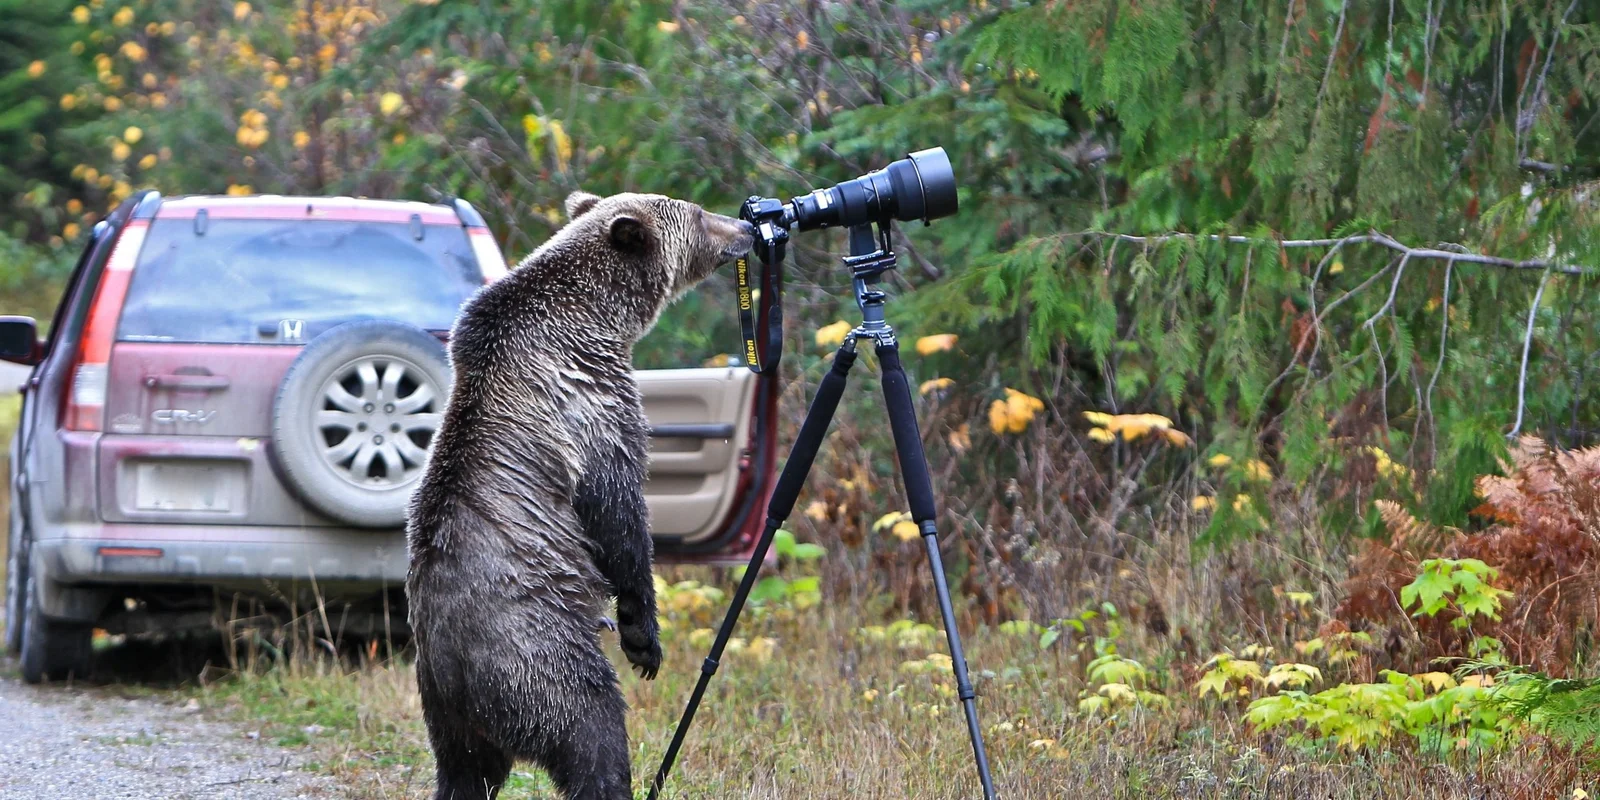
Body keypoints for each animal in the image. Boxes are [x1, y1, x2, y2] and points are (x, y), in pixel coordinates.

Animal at [400, 193, 748, 800]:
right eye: (701, 215)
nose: (747, 226)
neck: (596, 318)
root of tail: (452, 666)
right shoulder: (590, 405)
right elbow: (619, 515)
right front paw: (643, 636)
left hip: (445, 713)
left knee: (465, 773)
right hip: (538, 654)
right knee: (592, 729)